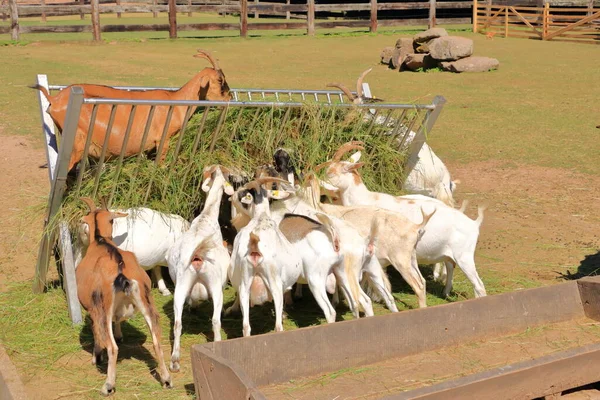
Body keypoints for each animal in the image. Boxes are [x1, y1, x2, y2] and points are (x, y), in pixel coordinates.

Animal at [168, 165, 236, 372]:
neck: (207, 216)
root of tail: (197, 256)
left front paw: (193, 306)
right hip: (215, 286)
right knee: (215, 320)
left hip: (181, 285)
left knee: (177, 323)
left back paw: (174, 360)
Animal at [322, 142, 486, 298]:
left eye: (331, 172)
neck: (365, 199)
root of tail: (474, 224)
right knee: (450, 265)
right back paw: (444, 290)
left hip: (464, 256)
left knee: (478, 285)